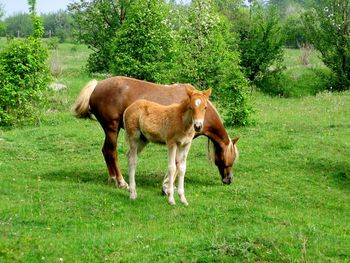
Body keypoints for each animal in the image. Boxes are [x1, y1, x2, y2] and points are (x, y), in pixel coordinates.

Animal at [73, 76, 239, 192]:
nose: (229, 179)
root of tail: (97, 85)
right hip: (112, 128)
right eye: (228, 158)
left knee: (105, 151)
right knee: (111, 152)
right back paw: (121, 182)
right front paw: (167, 186)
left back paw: (112, 179)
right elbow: (176, 163)